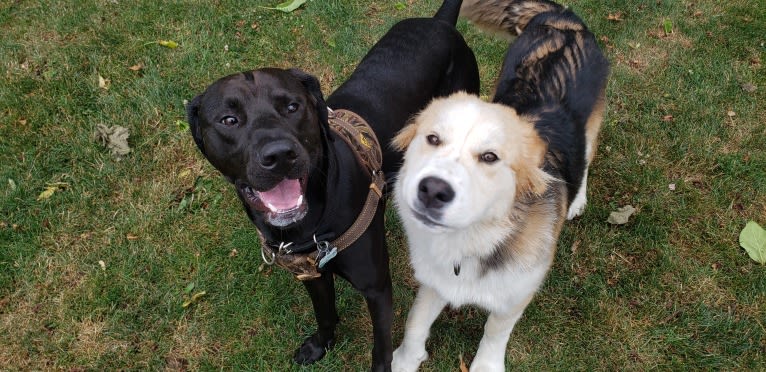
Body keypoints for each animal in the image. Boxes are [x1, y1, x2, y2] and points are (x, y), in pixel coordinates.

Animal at [184, 1, 480, 370]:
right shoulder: (310, 273)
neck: (311, 223)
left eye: (292, 106)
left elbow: (381, 346)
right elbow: (324, 311)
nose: (279, 155)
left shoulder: (376, 287)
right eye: (229, 119)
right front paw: (320, 345)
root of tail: (441, 22)